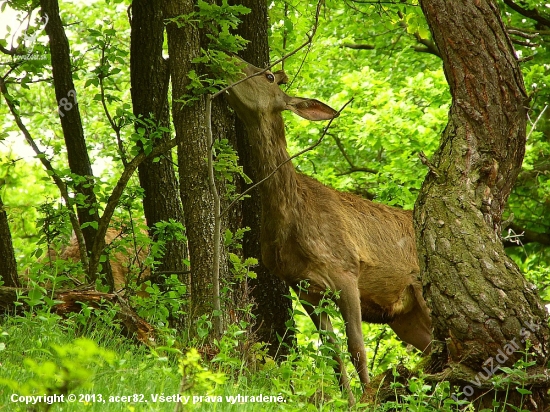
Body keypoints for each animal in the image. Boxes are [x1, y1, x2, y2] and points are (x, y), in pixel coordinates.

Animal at [226, 58, 434, 406]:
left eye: (268, 76)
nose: (229, 63)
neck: (292, 221)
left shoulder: (346, 269)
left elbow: (356, 347)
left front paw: (365, 400)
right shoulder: (303, 287)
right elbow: (332, 352)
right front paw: (348, 400)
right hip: (405, 317)